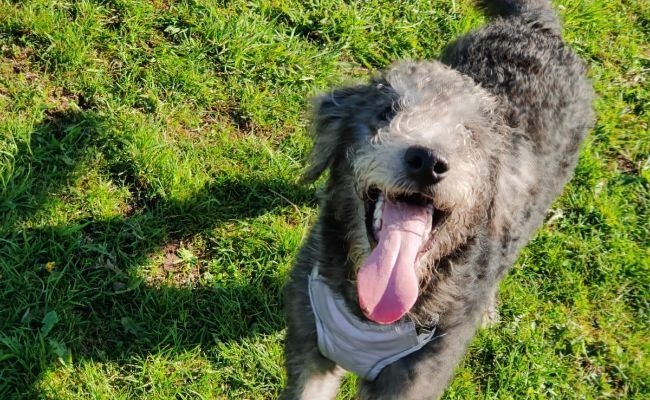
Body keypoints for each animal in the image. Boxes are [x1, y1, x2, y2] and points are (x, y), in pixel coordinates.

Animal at [278, 1, 592, 398]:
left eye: (470, 134)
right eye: (387, 111)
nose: (428, 162)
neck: (371, 315)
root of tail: (537, 27)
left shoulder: (416, 378)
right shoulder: (309, 345)